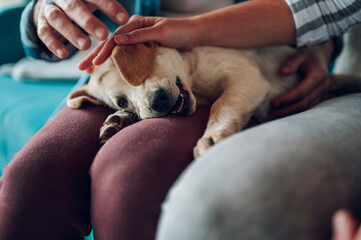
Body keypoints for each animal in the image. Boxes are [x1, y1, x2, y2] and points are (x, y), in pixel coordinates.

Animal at [67, 42, 358, 158]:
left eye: (143, 71)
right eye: (121, 101)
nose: (157, 103)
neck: (196, 78)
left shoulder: (245, 75)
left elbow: (223, 104)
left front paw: (213, 135)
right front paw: (119, 120)